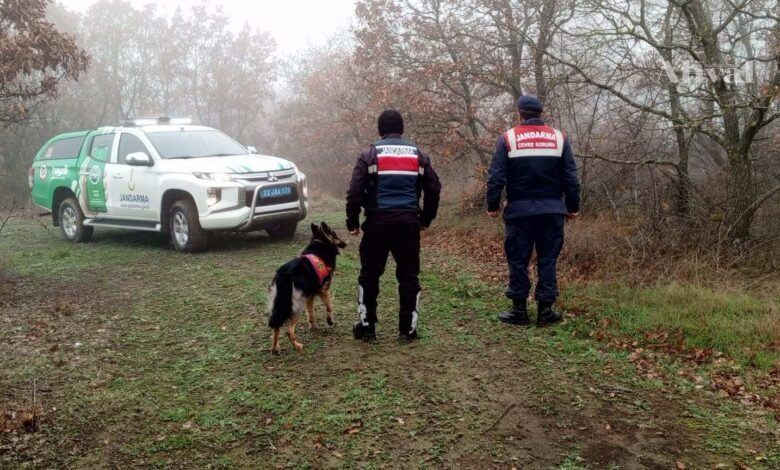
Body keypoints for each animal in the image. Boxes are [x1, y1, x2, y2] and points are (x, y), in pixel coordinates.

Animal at [266, 222, 346, 354]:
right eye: (335, 234)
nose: (345, 243)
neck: (320, 242)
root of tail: (284, 274)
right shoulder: (324, 290)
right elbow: (329, 307)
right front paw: (330, 321)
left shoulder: (309, 295)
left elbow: (310, 312)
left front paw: (313, 326)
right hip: (296, 305)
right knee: (289, 330)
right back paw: (297, 346)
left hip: (281, 303)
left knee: (276, 325)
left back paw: (275, 348)